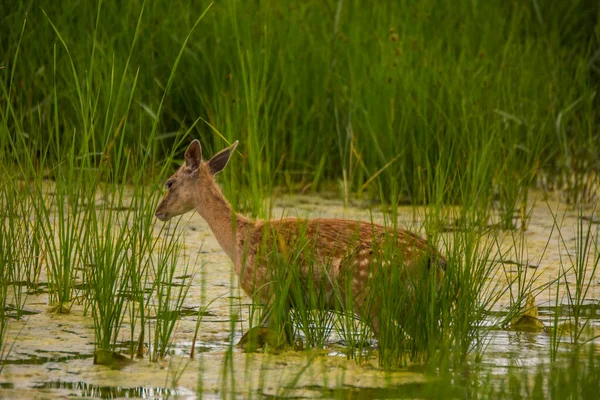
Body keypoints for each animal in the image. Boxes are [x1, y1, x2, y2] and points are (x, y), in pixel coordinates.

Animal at [155, 140, 446, 350]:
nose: (158, 211)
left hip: (369, 293)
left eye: (169, 182)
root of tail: (436, 259)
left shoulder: (271, 290)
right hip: (412, 303)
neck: (238, 242)